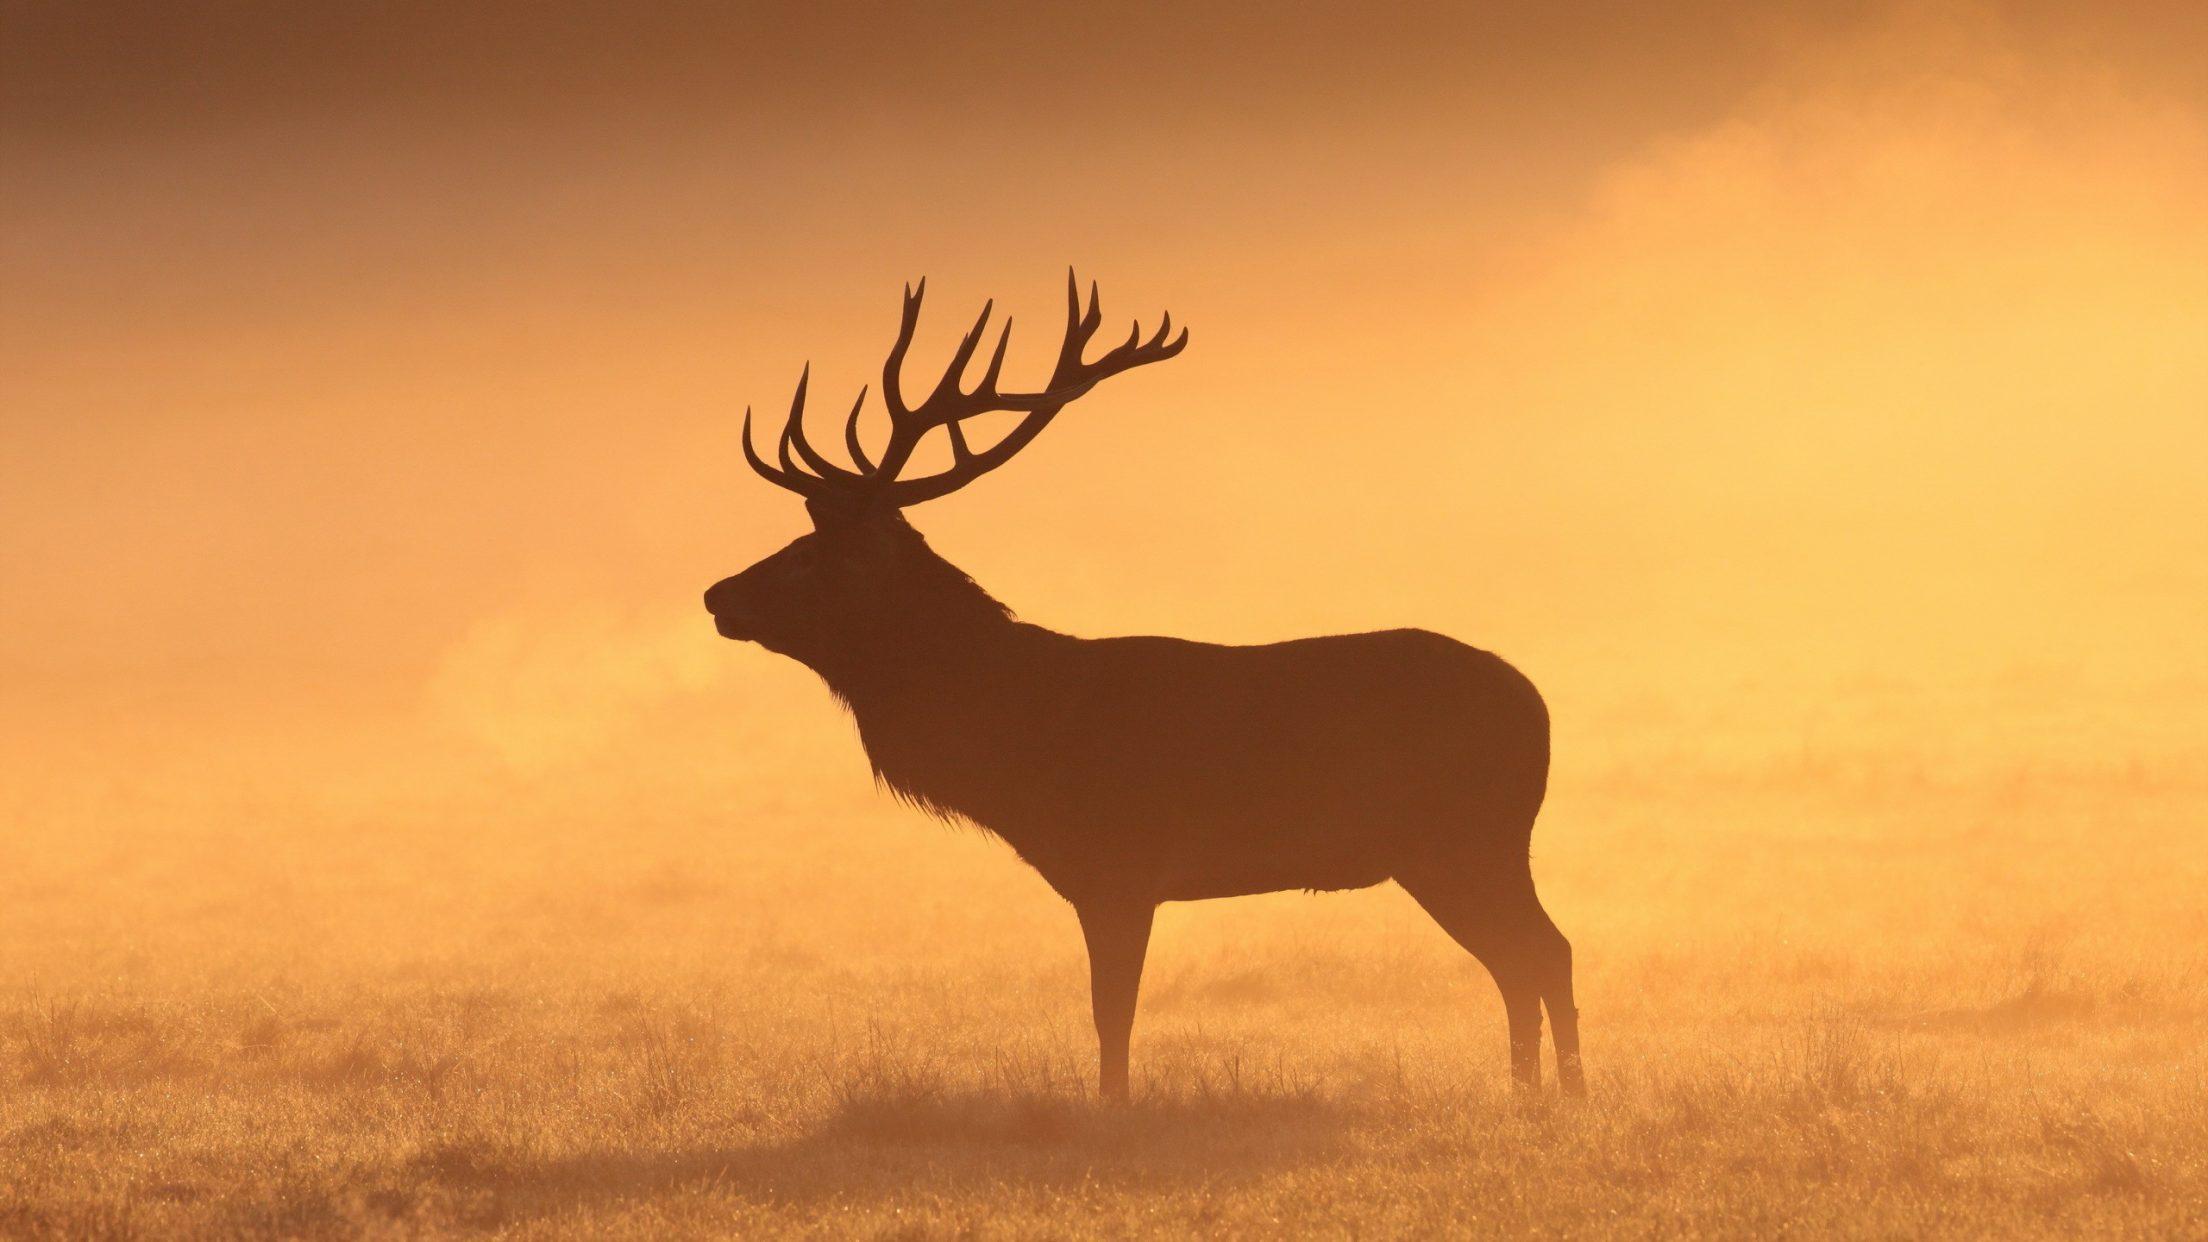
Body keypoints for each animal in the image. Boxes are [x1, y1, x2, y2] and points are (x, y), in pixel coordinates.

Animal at [704, 273, 1582, 1100]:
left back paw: (1564, 1094)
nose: (717, 594)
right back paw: (1530, 1092)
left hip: (1464, 837)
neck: (1019, 737)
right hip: (1471, 847)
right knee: (1527, 957)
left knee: (1543, 950)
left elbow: (1112, 1012)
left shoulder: (1119, 865)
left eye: (809, 558)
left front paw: (1113, 1107)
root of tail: (1538, 707)